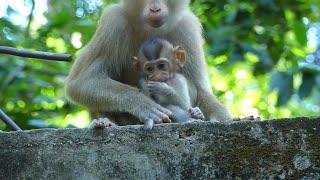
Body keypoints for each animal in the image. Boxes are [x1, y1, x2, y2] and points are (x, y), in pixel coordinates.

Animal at [65, 0, 231, 128]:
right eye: (150, 69)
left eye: (162, 66)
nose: (155, 8)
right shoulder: (113, 22)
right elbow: (81, 81)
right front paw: (142, 104)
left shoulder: (187, 28)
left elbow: (201, 90)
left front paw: (220, 119)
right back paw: (105, 122)